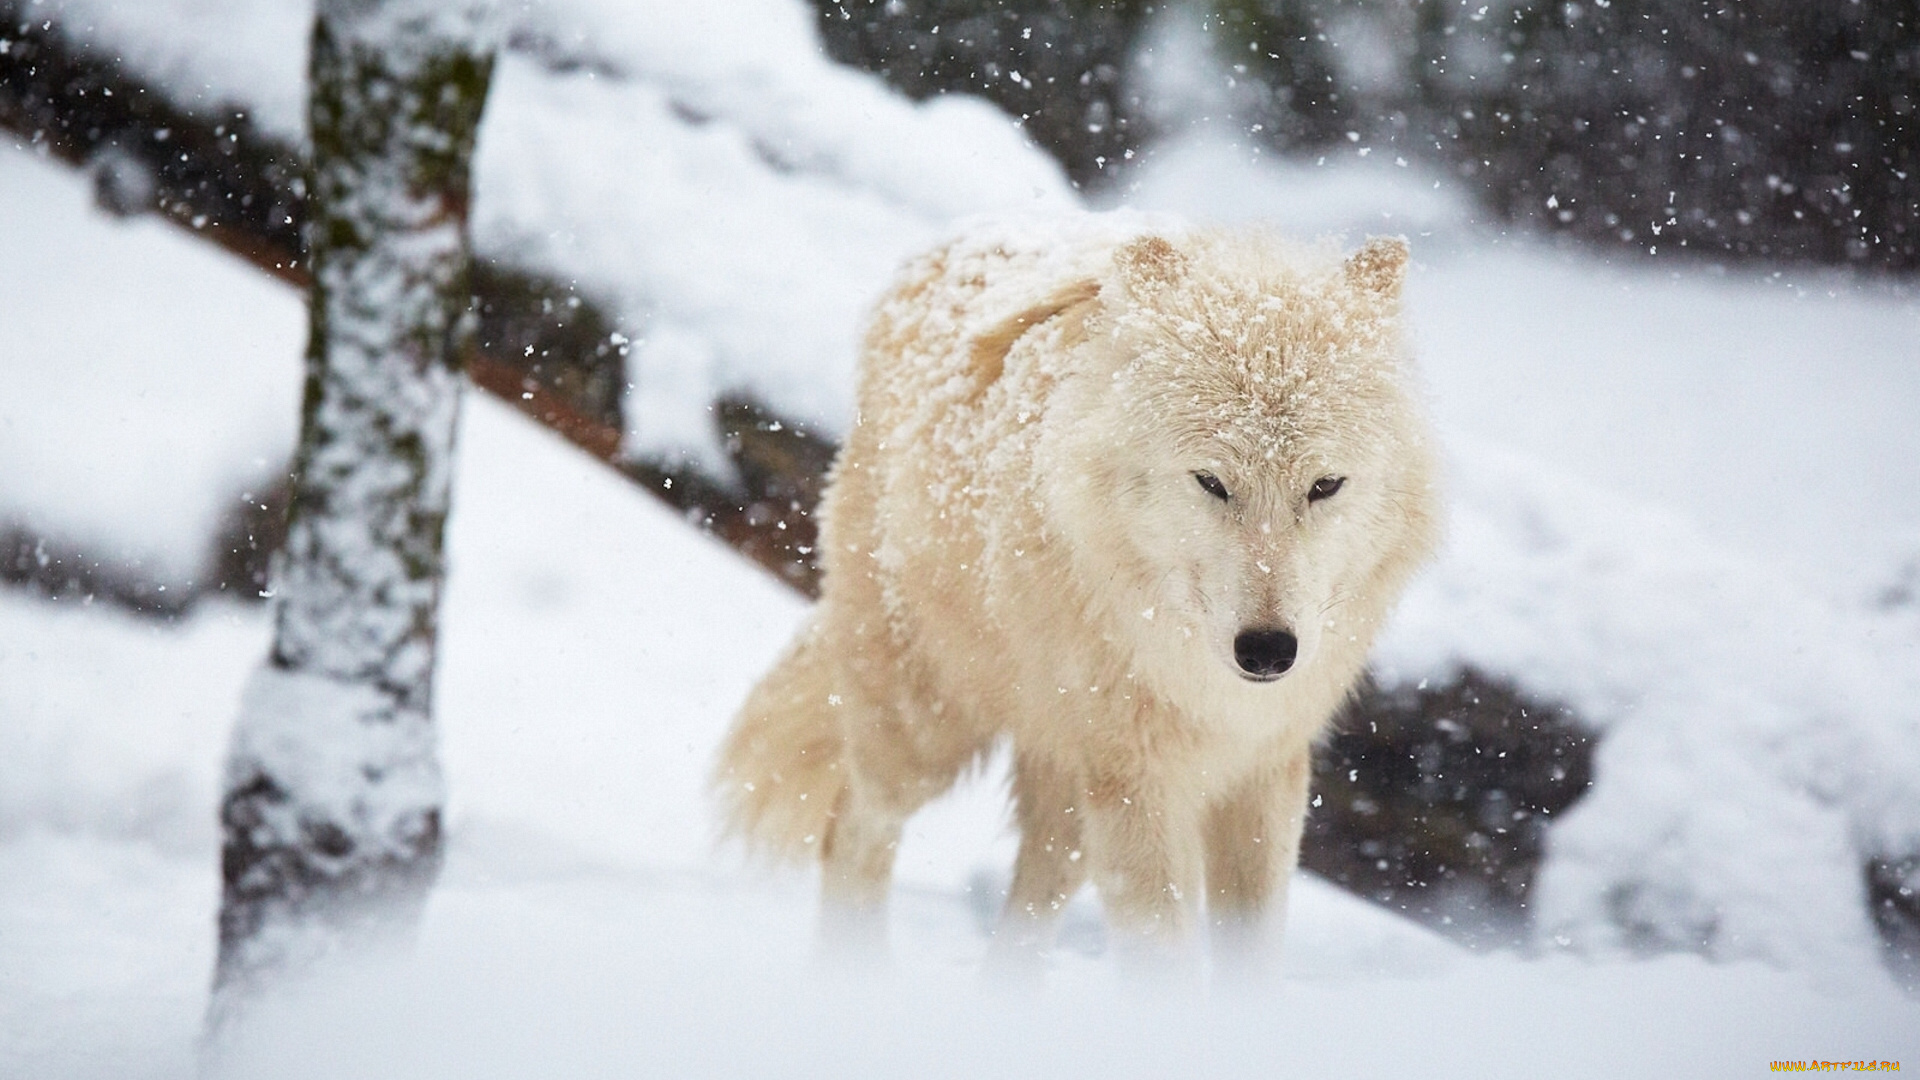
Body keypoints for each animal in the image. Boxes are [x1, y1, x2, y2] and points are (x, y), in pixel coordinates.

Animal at [721, 222, 1443, 972]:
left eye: (1325, 485)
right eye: (1212, 482)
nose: (1270, 650)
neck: (1204, 689)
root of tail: (946, 245)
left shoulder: (1264, 771)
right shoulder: (1138, 782)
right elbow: (1164, 964)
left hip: (1067, 796)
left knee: (1028, 906)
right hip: (926, 730)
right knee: (853, 831)